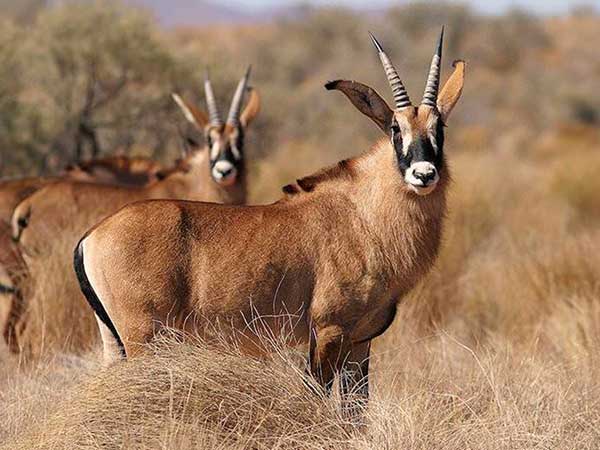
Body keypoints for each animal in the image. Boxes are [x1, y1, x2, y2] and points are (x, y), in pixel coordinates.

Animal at [74, 28, 464, 414]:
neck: (363, 215)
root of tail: (91, 237)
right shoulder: (328, 331)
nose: (423, 174)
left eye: (440, 127)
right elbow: (316, 401)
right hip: (144, 337)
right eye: (395, 128)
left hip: (117, 342)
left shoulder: (360, 342)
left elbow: (356, 414)